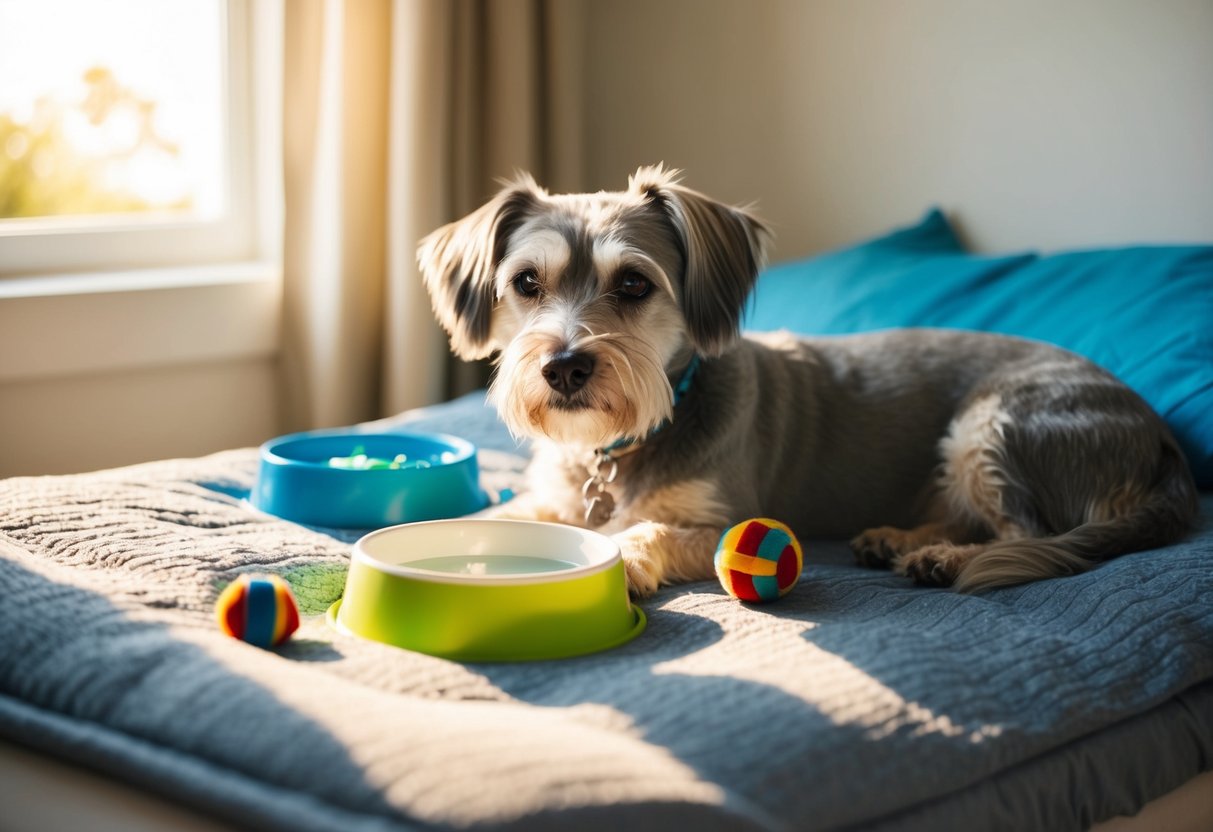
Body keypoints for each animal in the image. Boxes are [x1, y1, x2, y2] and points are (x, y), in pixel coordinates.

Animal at [414, 167, 1193, 599]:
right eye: (526, 284)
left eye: (633, 284)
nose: (564, 366)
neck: (618, 445)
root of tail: (1161, 441)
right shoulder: (549, 498)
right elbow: (504, 516)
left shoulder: (723, 516)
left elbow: (649, 527)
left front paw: (625, 555)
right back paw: (897, 539)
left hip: (994, 422)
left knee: (1027, 532)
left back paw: (942, 558)